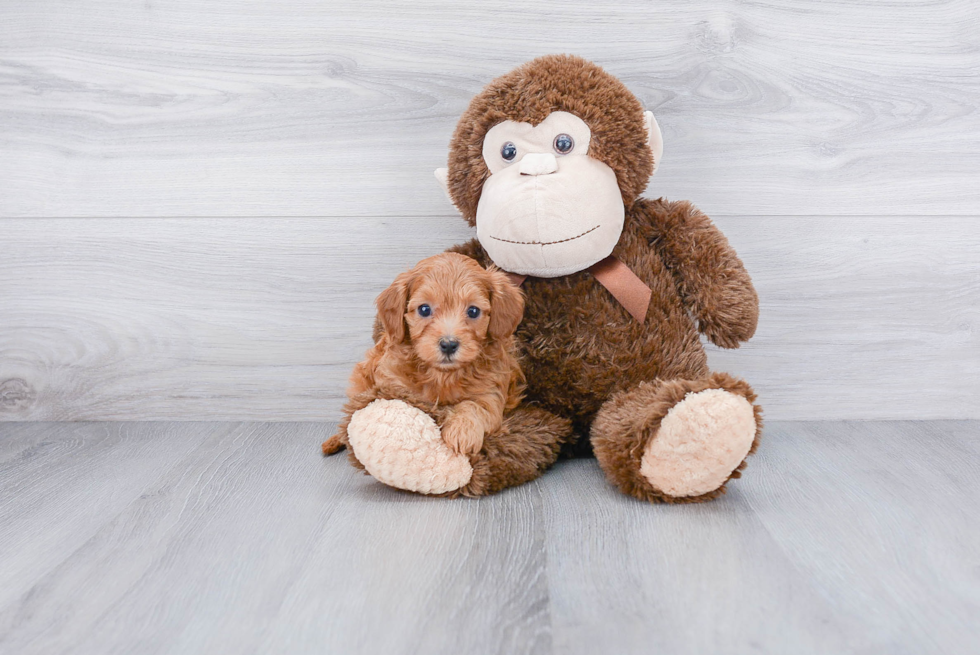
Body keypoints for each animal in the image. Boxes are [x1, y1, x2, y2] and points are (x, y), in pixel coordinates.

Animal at [322, 254, 524, 458]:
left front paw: (462, 431)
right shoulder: (392, 384)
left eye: (473, 311)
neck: (443, 375)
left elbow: (473, 405)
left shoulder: (491, 393)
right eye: (424, 309)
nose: (448, 344)